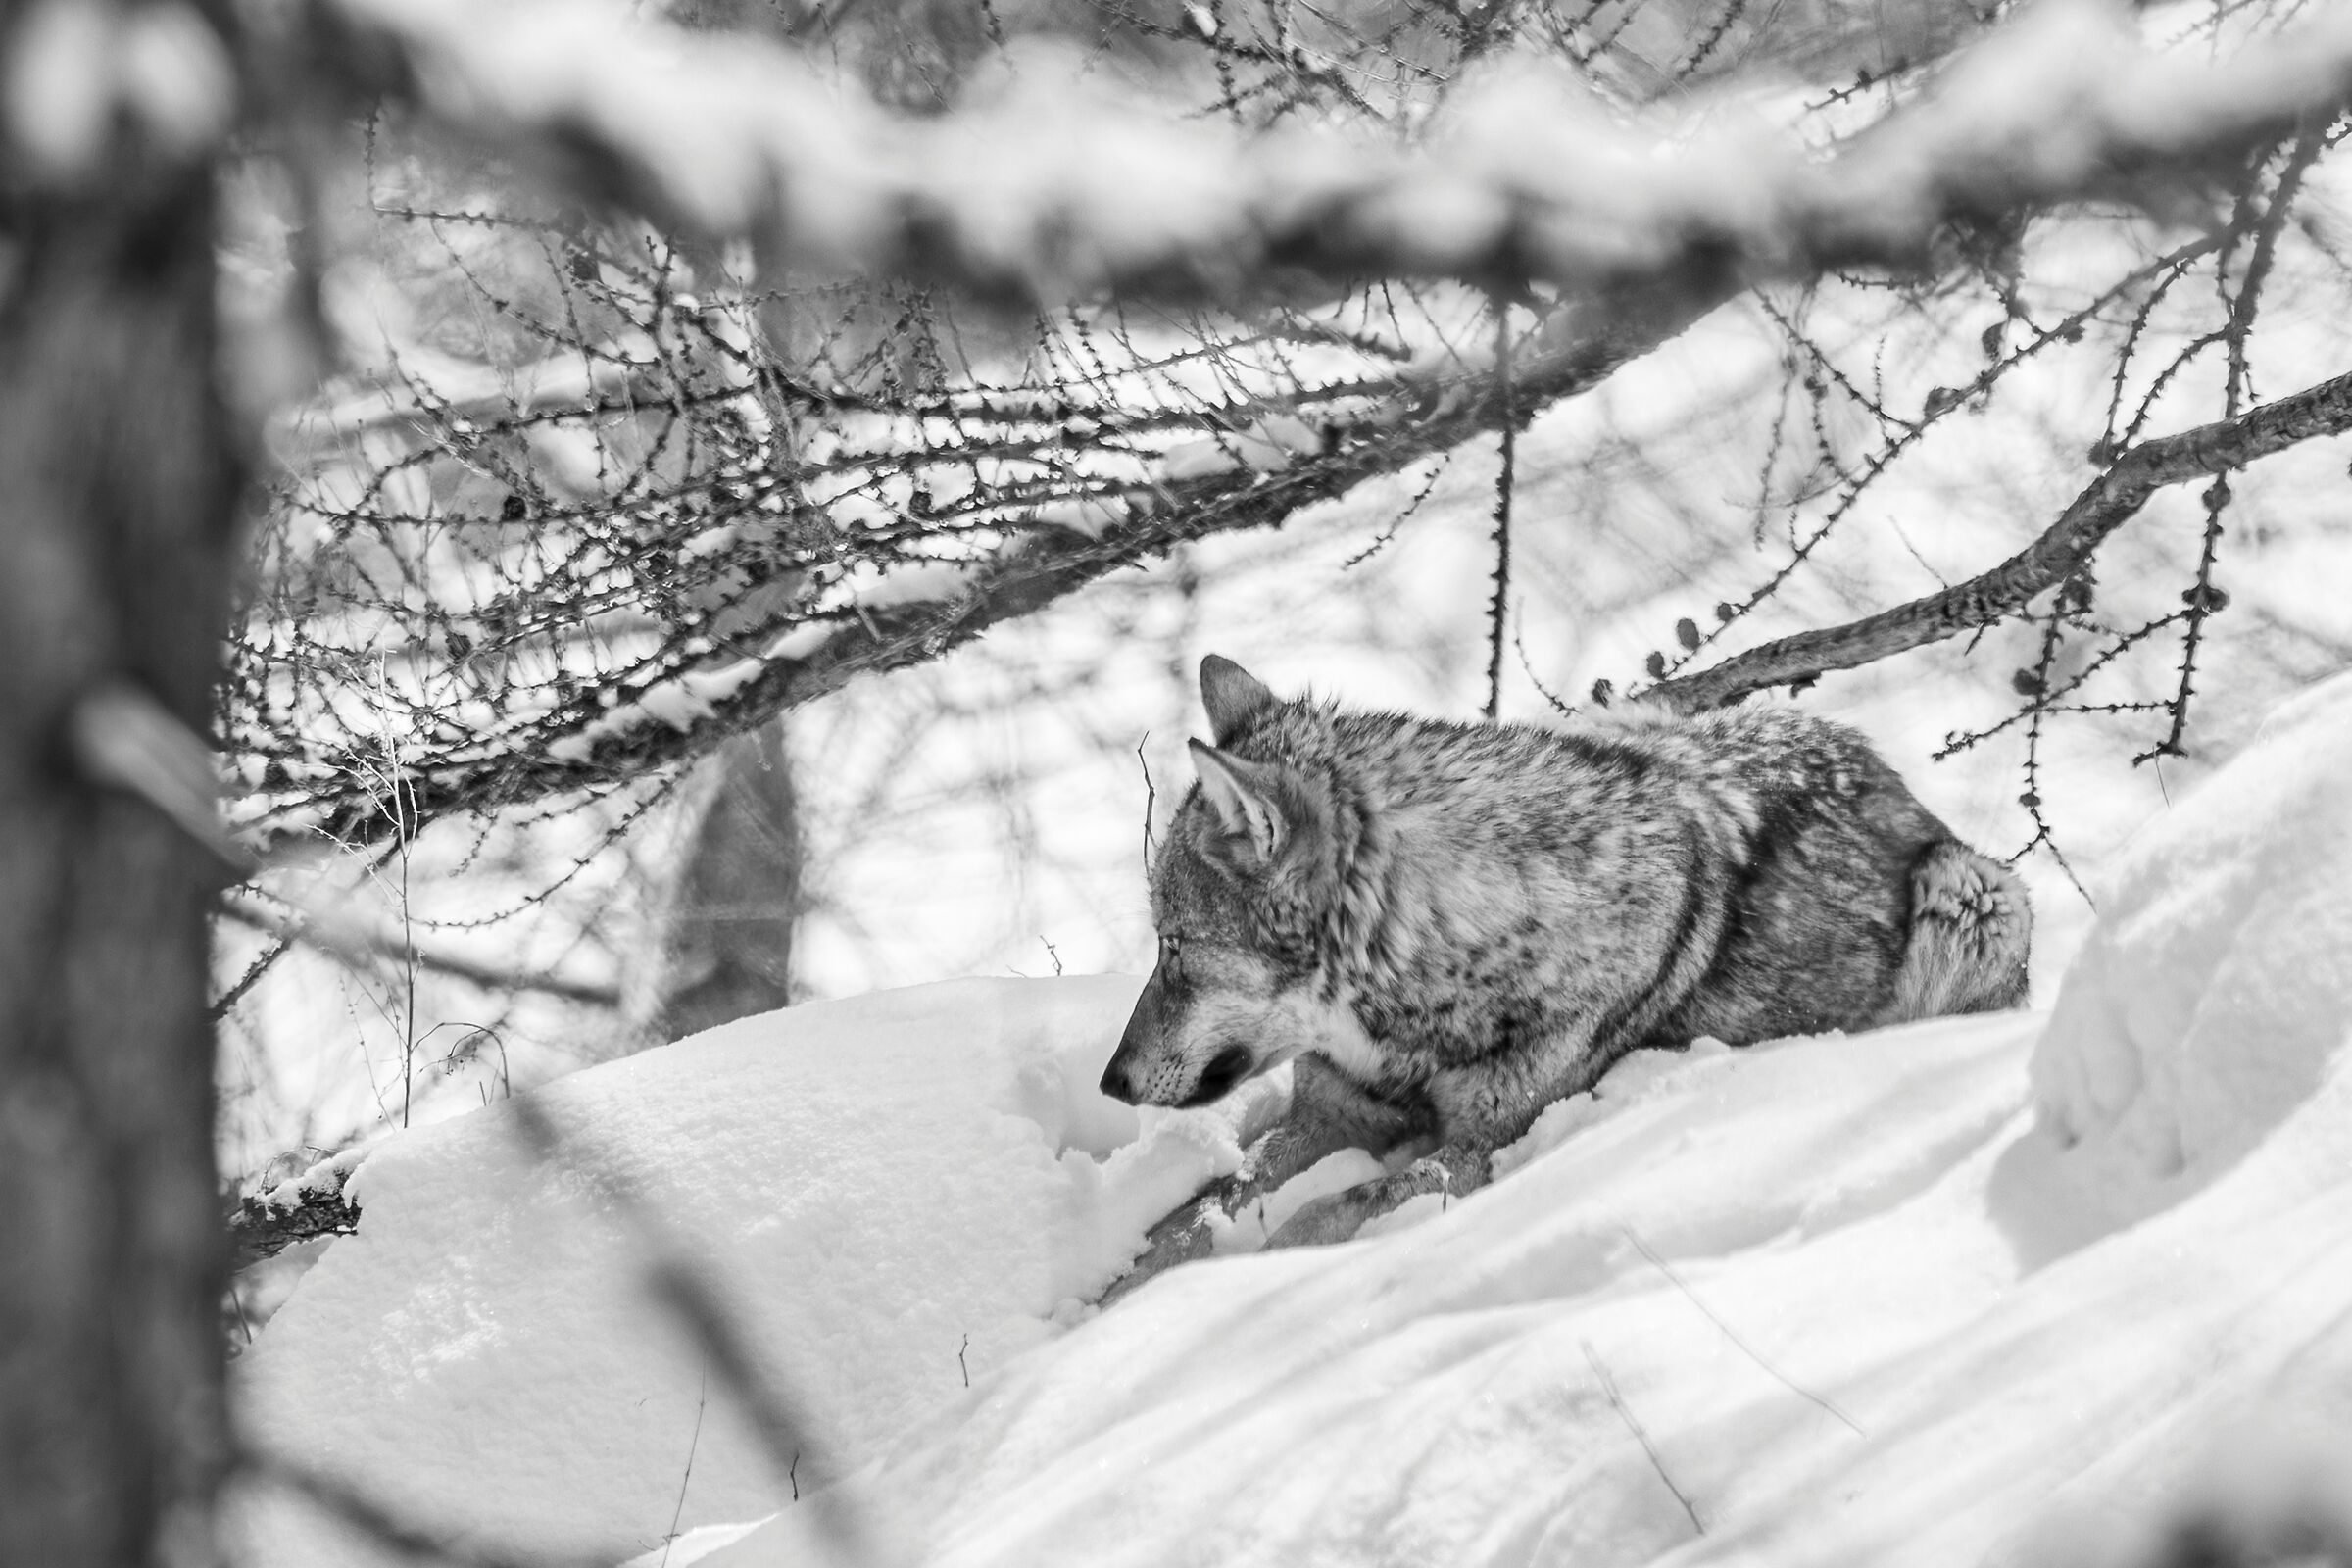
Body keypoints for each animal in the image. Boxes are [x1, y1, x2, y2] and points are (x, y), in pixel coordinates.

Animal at [1097, 655, 2029, 1303]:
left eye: (1173, 945)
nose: (1111, 1083)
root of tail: (1881, 764)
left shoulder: (1480, 1147)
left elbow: (1315, 1215)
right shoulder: (1331, 1115)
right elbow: (1185, 1221)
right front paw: (1108, 1299)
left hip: (1973, 896)